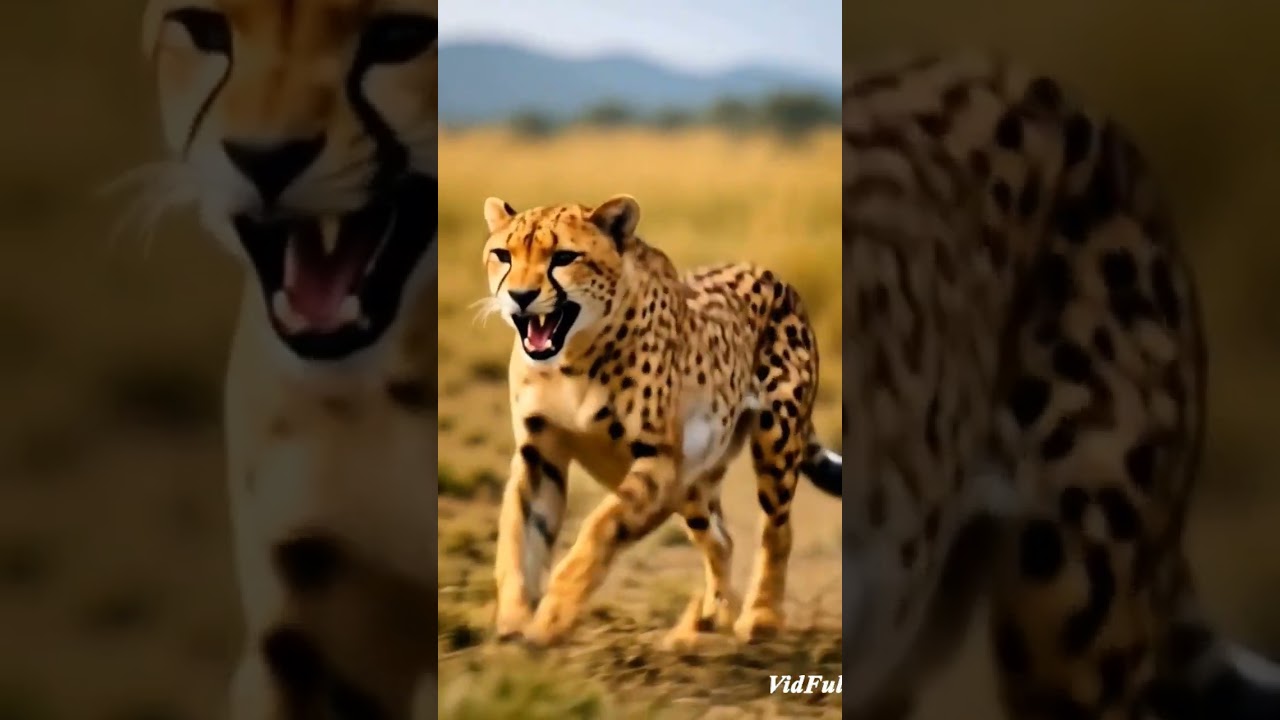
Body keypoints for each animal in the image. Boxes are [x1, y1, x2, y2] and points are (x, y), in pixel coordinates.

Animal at [476, 194, 843, 649]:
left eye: (563, 257)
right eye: (503, 255)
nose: (520, 296)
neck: (571, 359)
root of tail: (774, 276)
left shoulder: (659, 462)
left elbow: (600, 527)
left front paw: (553, 617)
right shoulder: (538, 454)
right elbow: (517, 536)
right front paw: (514, 617)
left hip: (775, 437)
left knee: (776, 529)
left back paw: (762, 618)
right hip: (695, 480)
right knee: (720, 538)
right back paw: (705, 620)